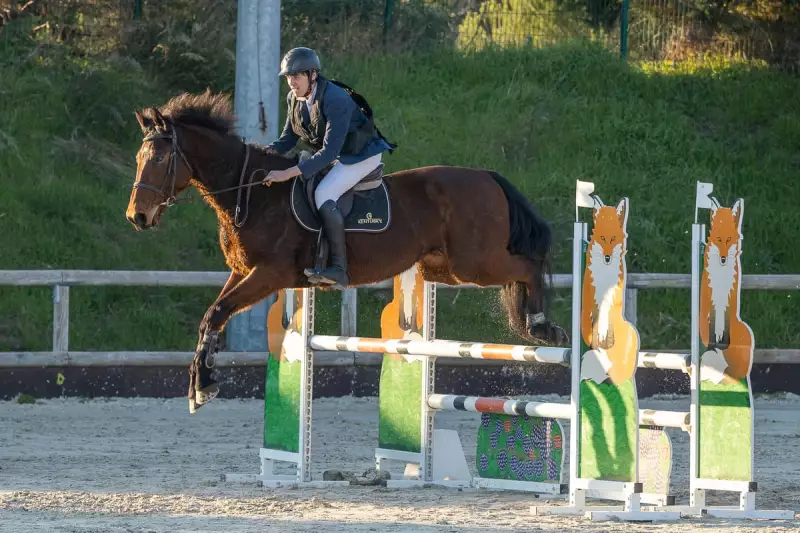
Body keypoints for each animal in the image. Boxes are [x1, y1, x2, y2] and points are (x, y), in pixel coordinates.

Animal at [125, 89, 568, 412]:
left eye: (160, 158)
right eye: (138, 157)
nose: (137, 216)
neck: (252, 193)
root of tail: (488, 176)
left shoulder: (269, 274)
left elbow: (216, 313)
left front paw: (203, 386)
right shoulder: (243, 272)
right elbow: (209, 319)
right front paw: (200, 385)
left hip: (475, 263)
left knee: (529, 265)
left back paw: (541, 325)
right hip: (445, 267)